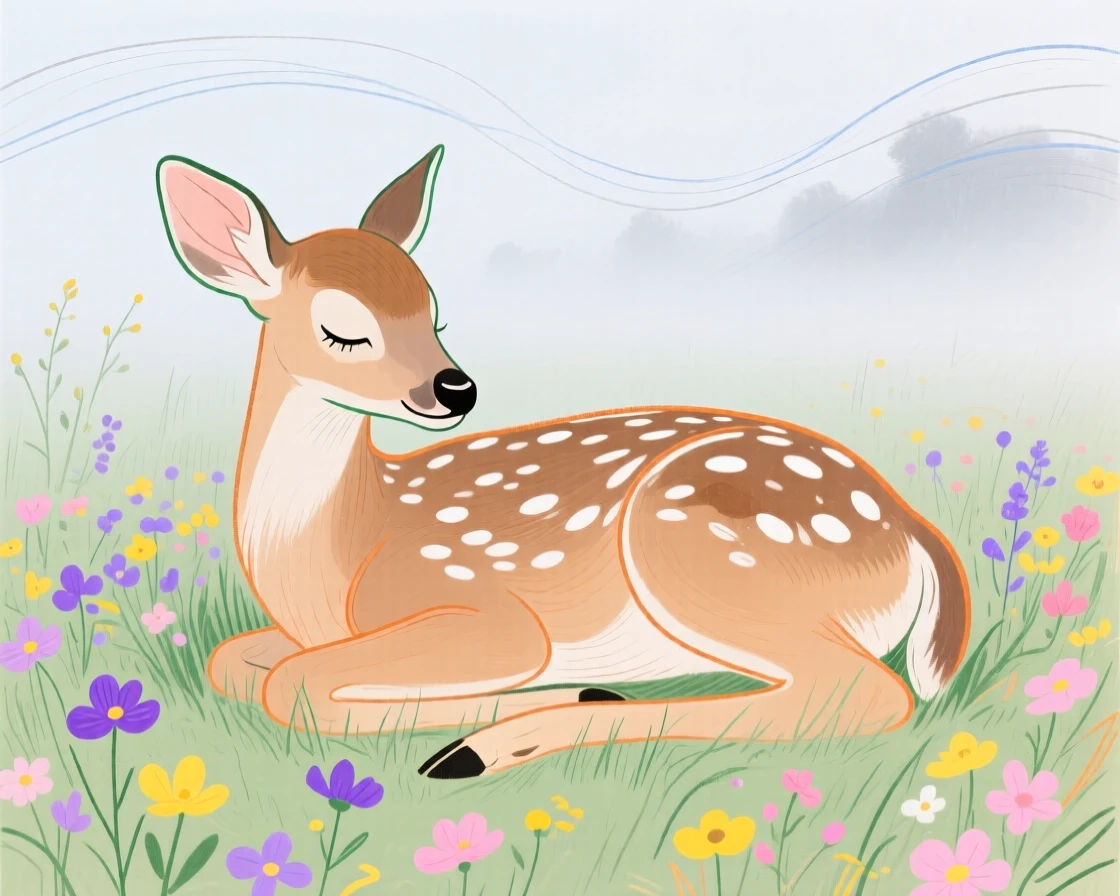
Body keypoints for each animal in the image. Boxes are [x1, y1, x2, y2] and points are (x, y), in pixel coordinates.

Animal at [155, 145, 971, 779]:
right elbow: (235, 662)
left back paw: (483, 747)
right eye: (341, 330)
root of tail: (912, 530)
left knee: (858, 694)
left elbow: (291, 685)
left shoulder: (483, 607)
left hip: (700, 553)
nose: (455, 388)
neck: (336, 553)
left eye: (433, 312)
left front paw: (539, 699)